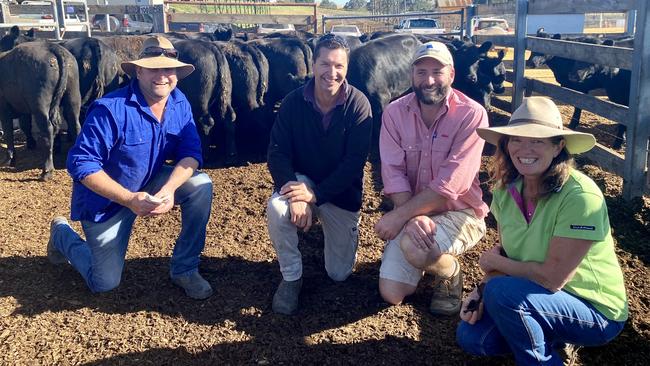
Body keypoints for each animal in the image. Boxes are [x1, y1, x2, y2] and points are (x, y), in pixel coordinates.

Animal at [0, 42, 81, 181]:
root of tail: (52, 46)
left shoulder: (4, 108)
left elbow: (8, 132)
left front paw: (9, 159)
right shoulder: (24, 109)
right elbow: (25, 125)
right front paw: (31, 143)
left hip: (40, 105)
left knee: (48, 131)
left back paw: (46, 171)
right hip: (73, 98)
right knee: (75, 125)